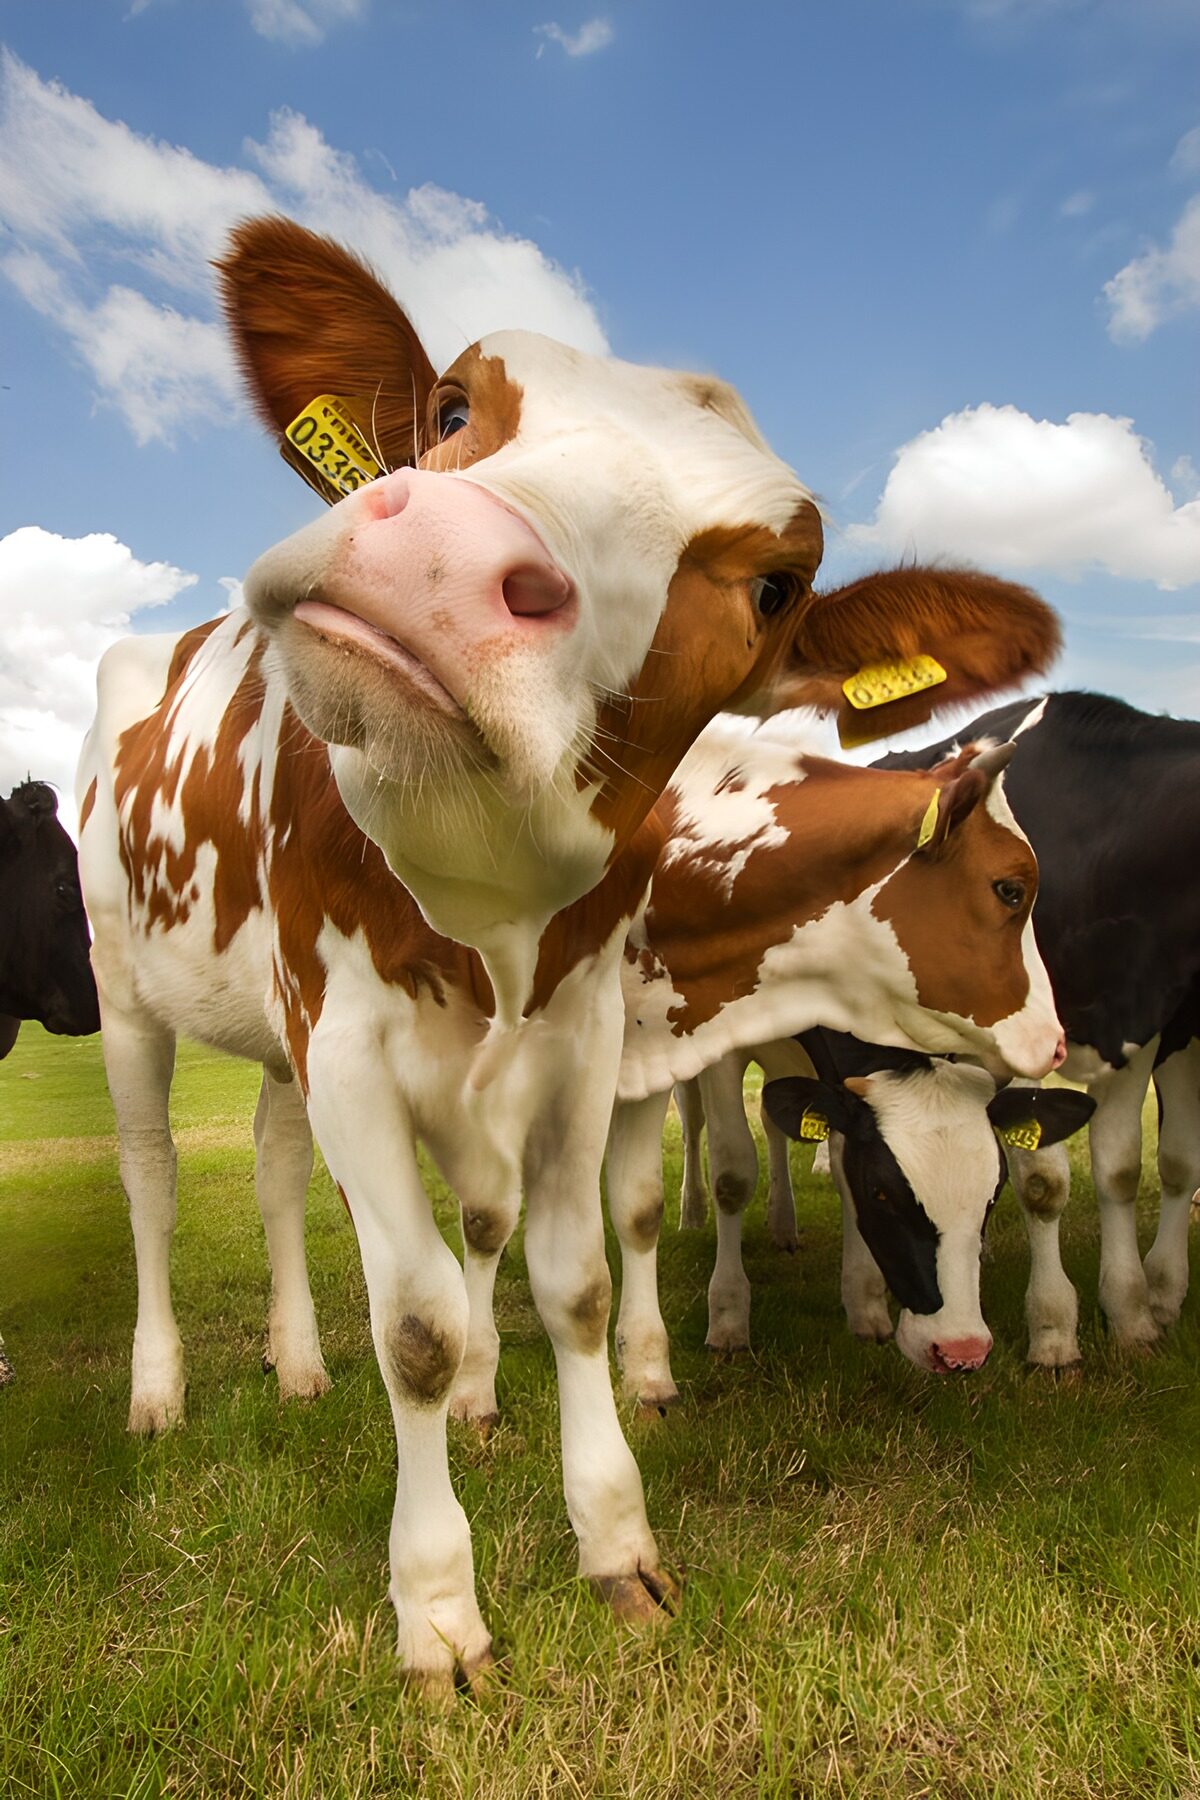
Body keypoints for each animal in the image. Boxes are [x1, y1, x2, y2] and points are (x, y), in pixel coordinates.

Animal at [78, 213, 1063, 1687]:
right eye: (447, 411)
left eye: (776, 586)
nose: (439, 551)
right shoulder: (354, 1043)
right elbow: (421, 1322)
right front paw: (438, 1607)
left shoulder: (586, 1041)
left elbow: (582, 1271)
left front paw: (614, 1534)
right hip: (124, 987)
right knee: (150, 1178)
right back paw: (158, 1390)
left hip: (269, 1031)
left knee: (269, 1168)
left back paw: (298, 1363)